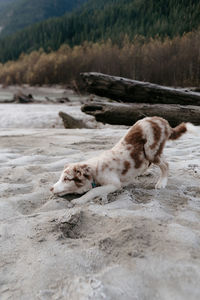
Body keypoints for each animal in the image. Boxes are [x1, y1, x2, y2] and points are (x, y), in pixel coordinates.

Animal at [50, 116, 198, 205]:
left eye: (67, 179)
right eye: (60, 177)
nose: (51, 188)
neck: (95, 170)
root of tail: (163, 121)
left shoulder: (114, 184)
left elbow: (94, 191)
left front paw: (79, 201)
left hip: (151, 150)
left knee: (165, 164)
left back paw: (161, 183)